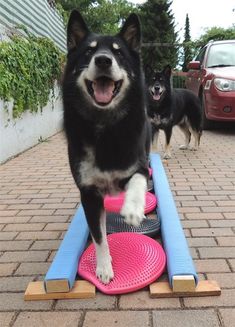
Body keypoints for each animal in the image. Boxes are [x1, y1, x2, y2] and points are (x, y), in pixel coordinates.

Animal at [62, 10, 151, 284]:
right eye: (89, 52)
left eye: (118, 53)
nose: (103, 60)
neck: (105, 127)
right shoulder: (89, 194)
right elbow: (99, 236)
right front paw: (103, 267)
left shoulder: (140, 166)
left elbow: (137, 181)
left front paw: (132, 209)